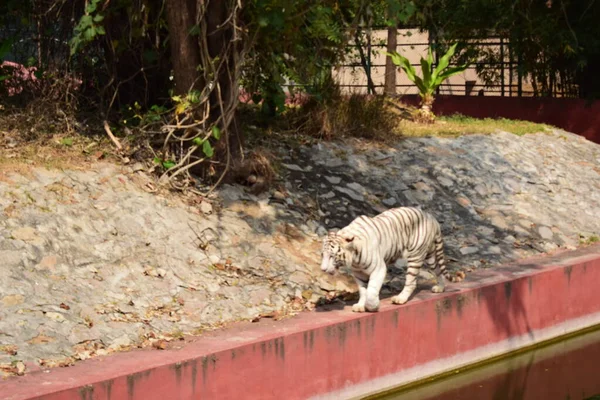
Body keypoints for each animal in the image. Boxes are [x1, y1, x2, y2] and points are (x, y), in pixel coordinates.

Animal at [318, 206, 454, 312]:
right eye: (322, 255)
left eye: (332, 256)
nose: (323, 269)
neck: (354, 258)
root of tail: (431, 217)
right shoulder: (358, 274)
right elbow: (363, 291)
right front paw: (360, 306)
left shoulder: (378, 269)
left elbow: (371, 290)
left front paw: (372, 306)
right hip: (430, 255)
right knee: (438, 270)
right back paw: (440, 288)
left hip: (415, 255)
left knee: (411, 282)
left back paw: (400, 299)